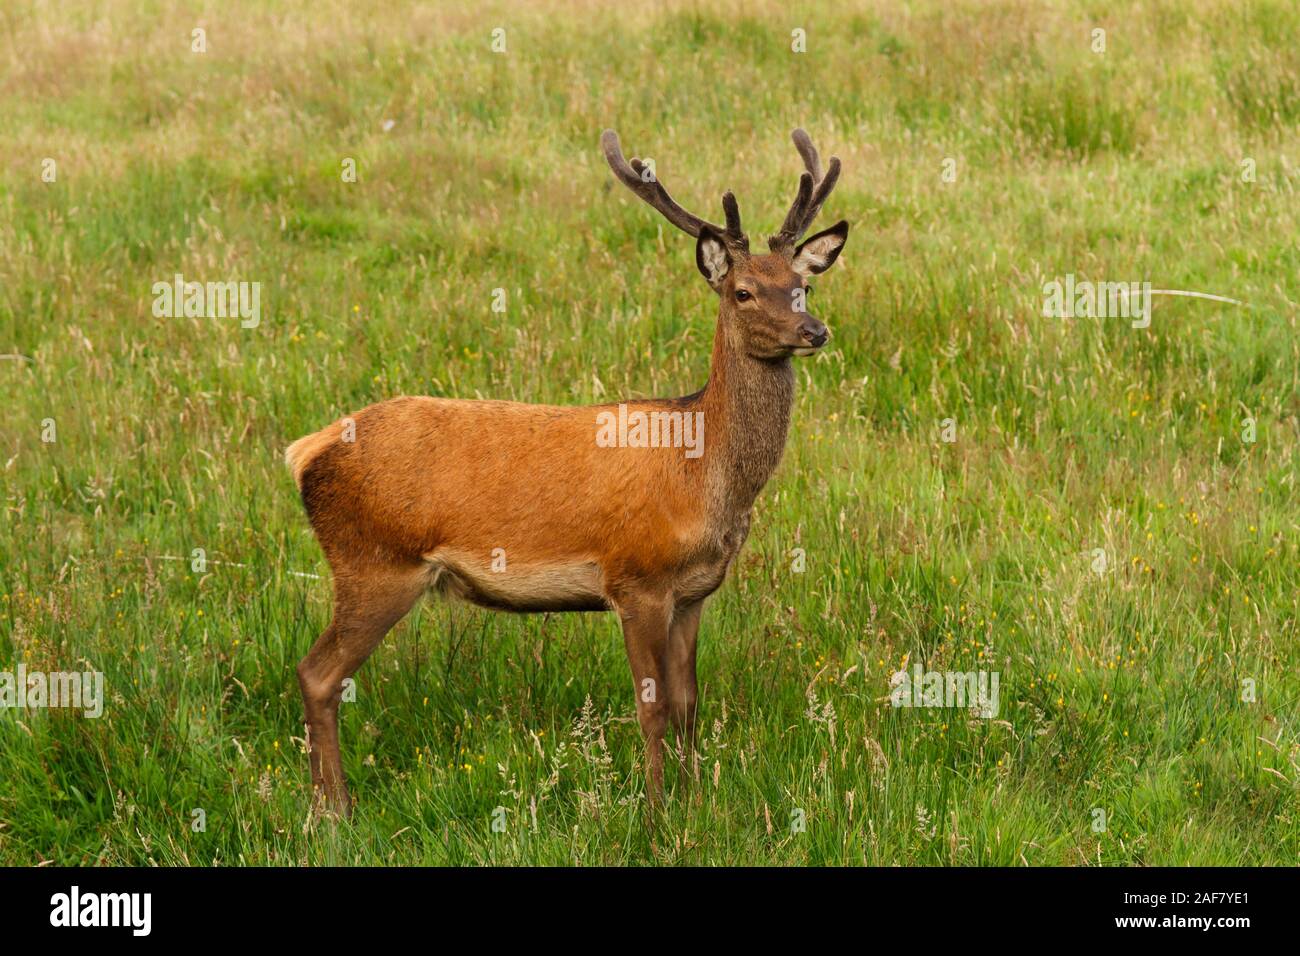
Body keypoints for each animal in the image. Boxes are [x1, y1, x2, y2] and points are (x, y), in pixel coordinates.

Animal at [285, 128, 849, 816]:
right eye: (742, 290)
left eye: (804, 286)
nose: (813, 330)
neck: (703, 472)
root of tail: (306, 451)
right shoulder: (636, 577)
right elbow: (652, 708)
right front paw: (656, 812)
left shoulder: (693, 593)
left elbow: (690, 705)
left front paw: (695, 800)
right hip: (374, 563)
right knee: (318, 674)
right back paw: (333, 811)